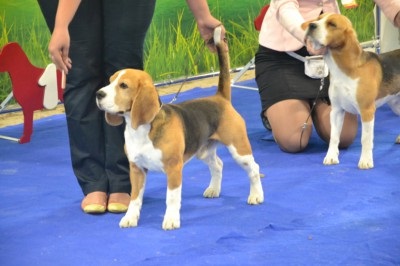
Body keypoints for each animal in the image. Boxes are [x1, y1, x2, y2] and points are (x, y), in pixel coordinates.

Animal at [95, 27, 264, 231]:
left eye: (123, 85)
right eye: (110, 81)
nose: (98, 94)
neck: (143, 129)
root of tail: (220, 98)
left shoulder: (174, 168)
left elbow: (172, 198)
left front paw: (171, 220)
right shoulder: (136, 169)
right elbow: (135, 198)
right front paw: (130, 218)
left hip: (239, 149)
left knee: (254, 168)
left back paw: (256, 195)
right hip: (203, 151)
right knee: (218, 165)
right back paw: (214, 189)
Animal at [302, 13, 398, 168]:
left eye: (332, 24)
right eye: (319, 18)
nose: (311, 25)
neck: (344, 71)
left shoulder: (367, 111)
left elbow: (365, 139)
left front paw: (365, 161)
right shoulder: (336, 110)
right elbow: (334, 137)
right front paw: (331, 157)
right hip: (396, 105)